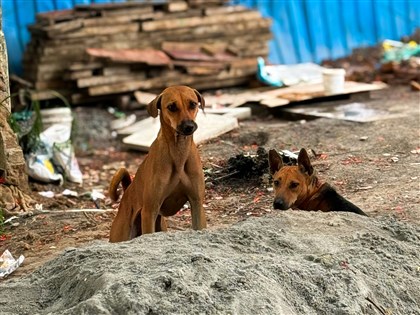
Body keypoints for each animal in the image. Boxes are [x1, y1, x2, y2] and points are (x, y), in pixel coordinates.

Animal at [108, 85, 207, 243]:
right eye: (171, 107)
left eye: (193, 104)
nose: (188, 126)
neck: (178, 151)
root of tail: (127, 191)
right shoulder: (150, 211)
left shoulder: (197, 204)